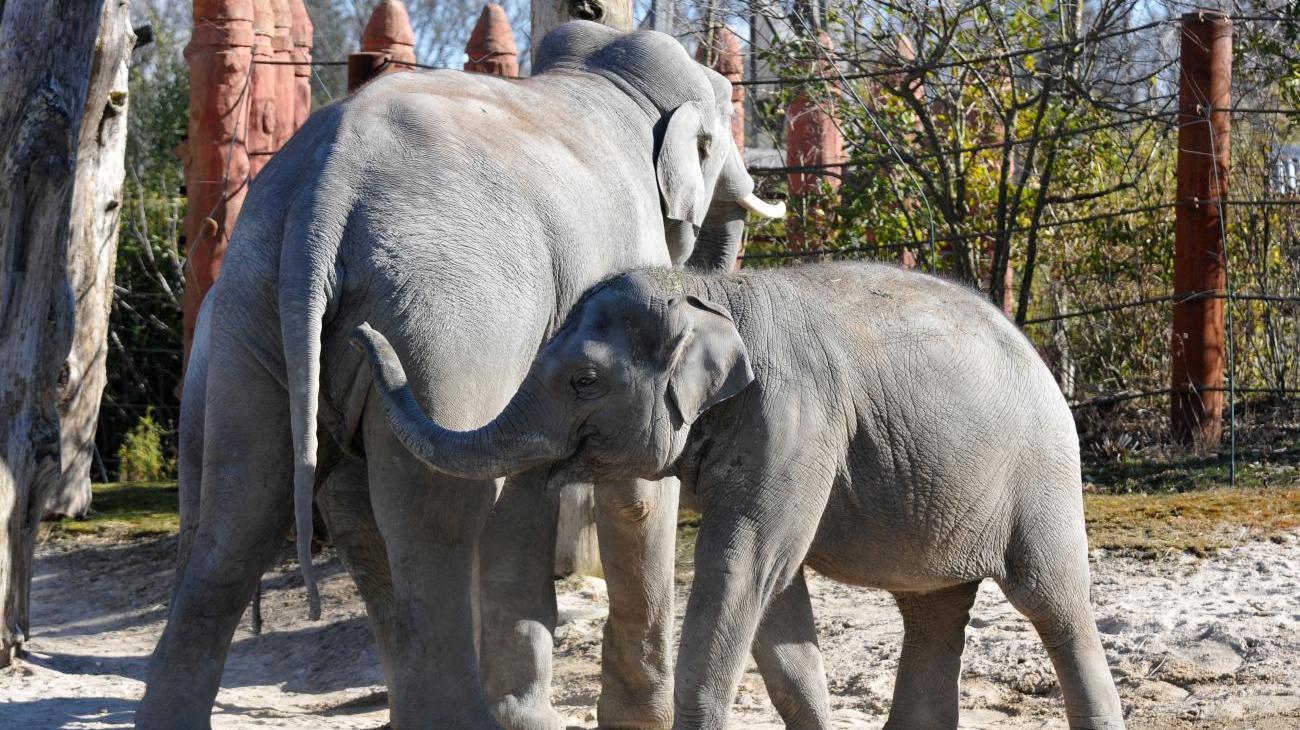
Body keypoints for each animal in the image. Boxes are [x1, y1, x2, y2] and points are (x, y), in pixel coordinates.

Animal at [138, 19, 780, 722]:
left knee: (243, 512)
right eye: (722, 125)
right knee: (432, 520)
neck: (606, 81)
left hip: (250, 314)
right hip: (447, 327)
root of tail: (322, 187)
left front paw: (527, 718)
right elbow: (635, 492)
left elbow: (521, 493)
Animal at [356, 263, 1128, 727]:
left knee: (1053, 603)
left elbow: (743, 568)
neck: (708, 290)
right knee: (933, 613)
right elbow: (773, 598)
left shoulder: (792, 417)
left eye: (584, 380)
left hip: (1042, 476)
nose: (364, 327)